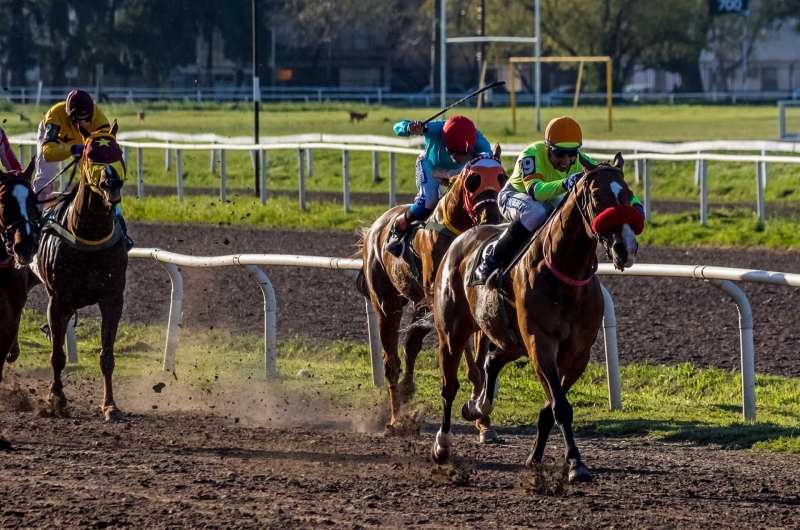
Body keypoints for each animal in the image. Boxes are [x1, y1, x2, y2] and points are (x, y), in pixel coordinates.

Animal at [34, 121, 127, 418]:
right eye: (89, 153)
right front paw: (57, 399)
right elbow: (57, 355)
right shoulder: (58, 300)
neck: (88, 233)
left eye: (118, 151)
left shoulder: (112, 298)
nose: (111, 184)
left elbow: (106, 354)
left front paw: (110, 405)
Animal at [358, 144, 506, 434]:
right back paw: (395, 418)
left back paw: (406, 392)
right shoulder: (443, 301)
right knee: (390, 359)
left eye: (502, 177)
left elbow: (480, 355)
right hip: (387, 302)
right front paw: (474, 399)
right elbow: (467, 355)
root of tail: (374, 227)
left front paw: (484, 422)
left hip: (419, 304)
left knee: (411, 345)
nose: (492, 216)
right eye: (473, 181)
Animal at [432, 152, 644, 478]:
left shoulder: (577, 352)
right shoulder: (540, 343)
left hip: (510, 337)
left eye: (628, 194)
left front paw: (537, 457)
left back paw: (477, 406)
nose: (626, 248)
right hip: (453, 332)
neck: (565, 274)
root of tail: (463, 237)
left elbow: (551, 405)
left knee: (491, 360)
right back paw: (443, 445)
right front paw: (575, 463)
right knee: (448, 386)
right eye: (597, 196)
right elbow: (560, 406)